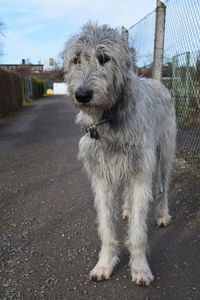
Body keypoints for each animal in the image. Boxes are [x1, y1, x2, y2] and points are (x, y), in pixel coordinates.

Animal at [63, 22, 176, 286]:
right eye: (76, 59)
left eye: (104, 58)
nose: (82, 95)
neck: (107, 119)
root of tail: (157, 82)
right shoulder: (101, 177)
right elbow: (106, 226)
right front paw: (105, 264)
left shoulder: (140, 172)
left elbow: (137, 232)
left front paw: (140, 268)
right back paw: (125, 209)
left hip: (164, 153)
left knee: (163, 186)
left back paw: (162, 214)